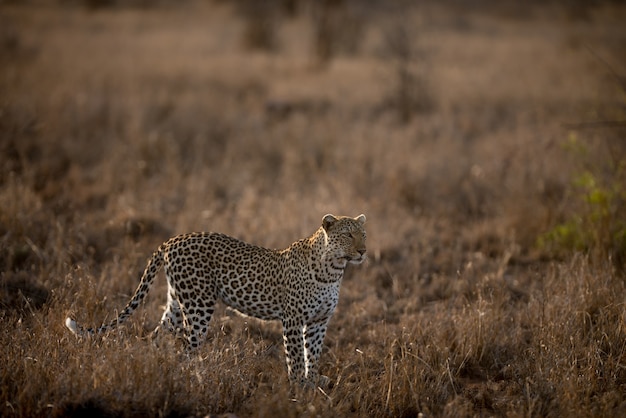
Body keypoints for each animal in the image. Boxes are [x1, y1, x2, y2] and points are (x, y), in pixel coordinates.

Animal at [64, 214, 366, 386]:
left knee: (158, 336)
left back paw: (156, 369)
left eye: (363, 234)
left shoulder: (318, 322)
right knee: (187, 347)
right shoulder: (293, 320)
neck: (333, 270)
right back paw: (194, 378)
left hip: (177, 302)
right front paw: (298, 387)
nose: (363, 250)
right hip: (198, 305)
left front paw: (313, 382)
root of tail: (172, 240)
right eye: (347, 235)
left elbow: (312, 353)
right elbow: (295, 356)